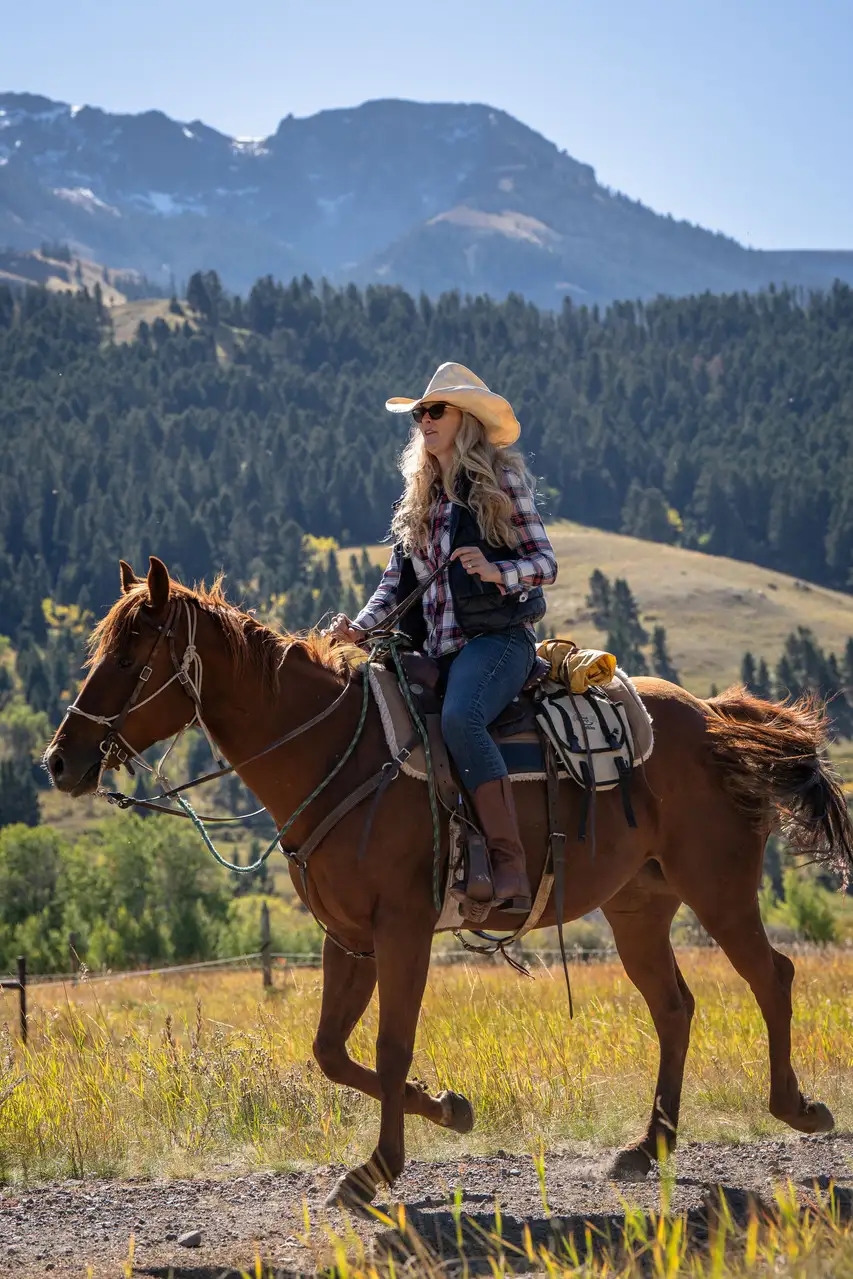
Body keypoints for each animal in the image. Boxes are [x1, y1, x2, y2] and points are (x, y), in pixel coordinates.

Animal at [45, 555, 853, 1202]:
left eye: (130, 659)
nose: (60, 760)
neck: (336, 749)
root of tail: (715, 718)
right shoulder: (348, 937)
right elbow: (332, 1052)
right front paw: (447, 1107)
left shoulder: (402, 928)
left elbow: (388, 1045)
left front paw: (378, 1167)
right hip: (637, 908)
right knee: (675, 1006)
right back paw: (645, 1145)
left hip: (718, 888)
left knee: (770, 976)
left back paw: (799, 1108)